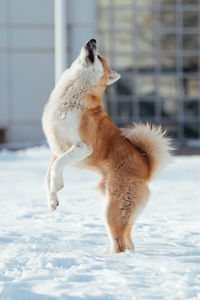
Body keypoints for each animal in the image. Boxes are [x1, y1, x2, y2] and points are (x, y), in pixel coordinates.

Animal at [41, 38, 170, 253]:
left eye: (99, 57)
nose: (92, 40)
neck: (72, 97)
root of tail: (146, 169)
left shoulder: (83, 147)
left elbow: (58, 166)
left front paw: (58, 185)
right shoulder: (55, 150)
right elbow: (48, 175)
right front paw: (52, 200)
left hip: (113, 208)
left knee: (119, 241)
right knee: (128, 239)